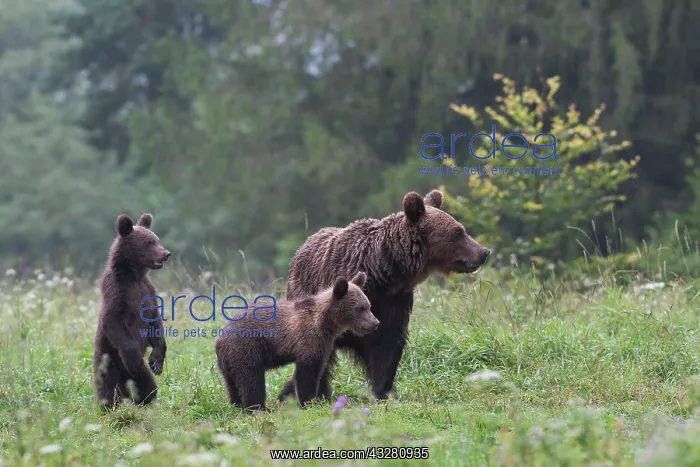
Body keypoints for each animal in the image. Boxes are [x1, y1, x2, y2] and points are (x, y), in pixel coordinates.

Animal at [93, 213, 172, 411]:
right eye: (149, 242)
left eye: (157, 239)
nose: (166, 254)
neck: (133, 275)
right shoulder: (117, 292)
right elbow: (113, 320)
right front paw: (135, 358)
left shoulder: (148, 291)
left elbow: (155, 323)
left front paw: (156, 362)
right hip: (108, 360)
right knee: (109, 388)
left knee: (146, 385)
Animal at [214, 271, 378, 411]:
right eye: (360, 308)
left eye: (368, 306)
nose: (375, 323)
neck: (326, 323)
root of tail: (220, 338)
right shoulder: (309, 339)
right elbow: (308, 372)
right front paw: (308, 401)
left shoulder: (325, 343)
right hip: (247, 348)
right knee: (251, 380)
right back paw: (258, 408)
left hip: (228, 362)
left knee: (232, 384)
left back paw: (237, 404)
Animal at [277, 189, 490, 402]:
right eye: (458, 232)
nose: (484, 251)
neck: (382, 273)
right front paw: (314, 394)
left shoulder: (394, 302)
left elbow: (387, 347)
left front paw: (384, 392)